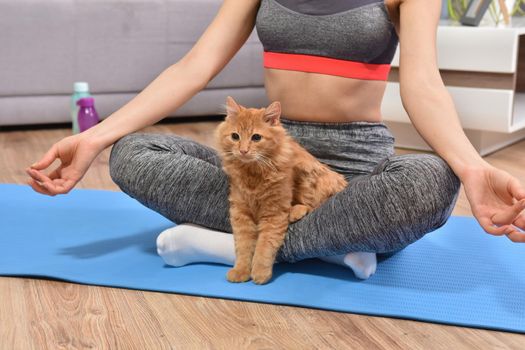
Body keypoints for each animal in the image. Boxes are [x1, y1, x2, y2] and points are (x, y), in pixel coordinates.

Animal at [215, 95, 346, 284]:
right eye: (235, 136)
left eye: (256, 137)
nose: (243, 150)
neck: (252, 173)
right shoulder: (240, 213)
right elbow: (243, 247)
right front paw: (240, 271)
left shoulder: (274, 214)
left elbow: (264, 247)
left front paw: (260, 273)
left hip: (306, 173)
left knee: (314, 205)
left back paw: (295, 212)